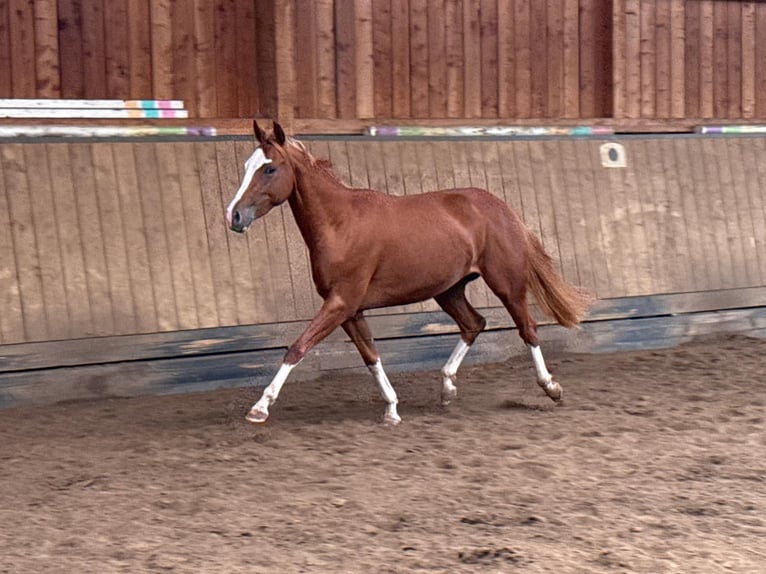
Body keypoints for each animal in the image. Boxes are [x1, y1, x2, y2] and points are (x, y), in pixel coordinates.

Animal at [226, 120, 590, 425]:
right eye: (245, 166)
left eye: (269, 168)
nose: (234, 216)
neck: (340, 224)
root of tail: (503, 209)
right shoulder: (350, 311)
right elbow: (370, 356)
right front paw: (391, 409)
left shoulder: (341, 303)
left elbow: (297, 348)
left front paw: (260, 407)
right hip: (449, 290)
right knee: (474, 324)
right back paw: (446, 388)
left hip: (506, 284)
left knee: (527, 329)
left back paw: (551, 387)